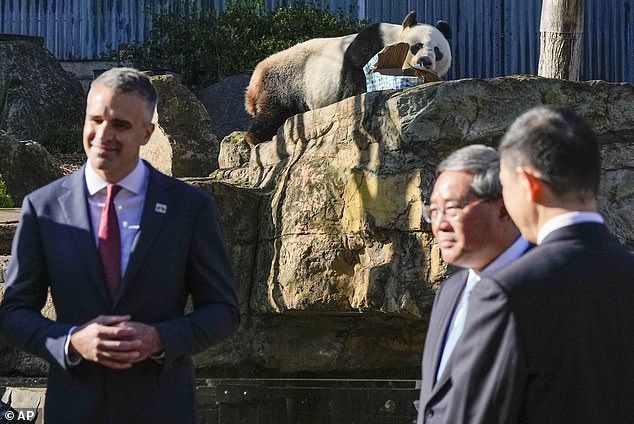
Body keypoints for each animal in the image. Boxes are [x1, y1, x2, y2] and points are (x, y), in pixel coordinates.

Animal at [242, 11, 450, 144]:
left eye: (437, 51)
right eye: (417, 46)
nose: (425, 61)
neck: (393, 40)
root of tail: (255, 78)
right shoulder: (372, 43)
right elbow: (356, 75)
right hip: (285, 79)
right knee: (275, 109)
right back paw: (254, 137)